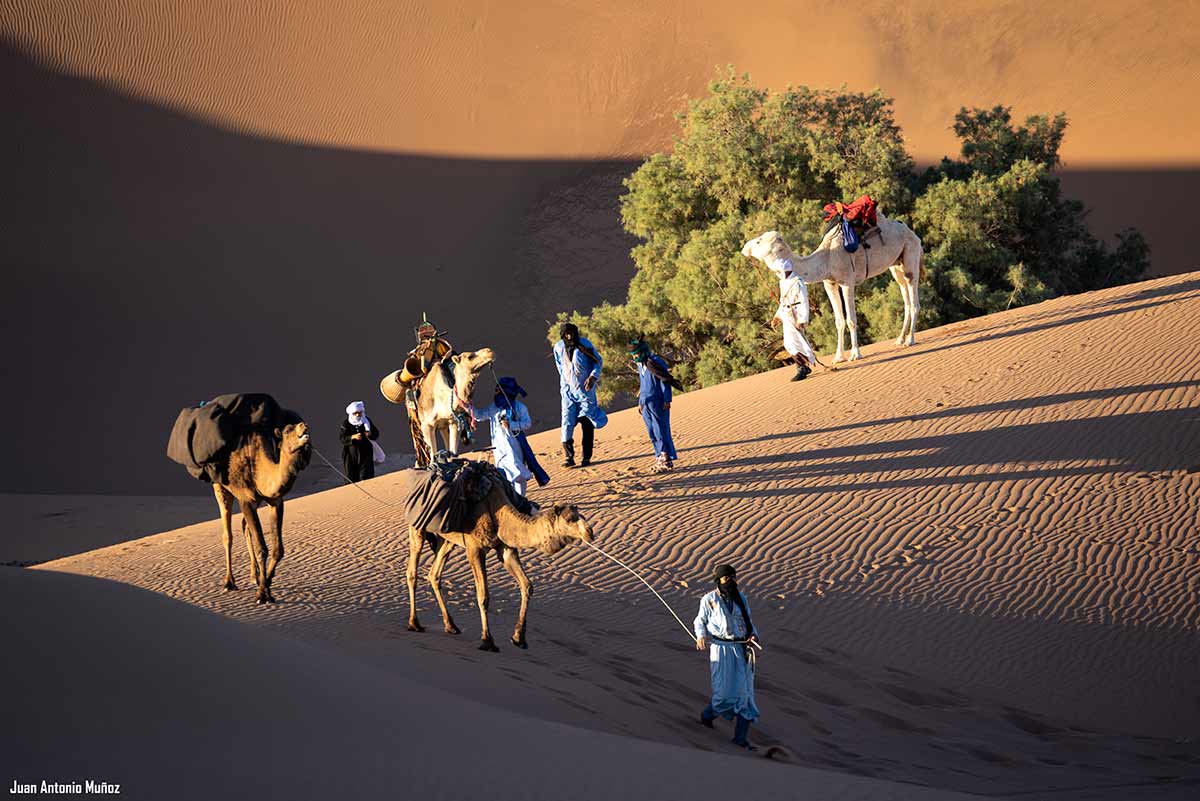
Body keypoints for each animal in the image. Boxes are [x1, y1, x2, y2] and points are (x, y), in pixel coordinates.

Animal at [213, 422, 312, 604]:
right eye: (287, 430)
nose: (304, 425)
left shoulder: (275, 501)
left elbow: (278, 549)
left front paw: (267, 582)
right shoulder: (246, 500)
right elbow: (262, 548)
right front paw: (262, 594)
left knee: (244, 527)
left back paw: (255, 575)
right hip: (220, 487)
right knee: (227, 535)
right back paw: (229, 582)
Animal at [408, 470, 595, 652]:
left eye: (581, 515)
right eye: (569, 519)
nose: (590, 532)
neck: (499, 515)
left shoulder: (506, 548)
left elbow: (527, 585)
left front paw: (519, 638)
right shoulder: (474, 549)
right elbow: (483, 595)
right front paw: (487, 641)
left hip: (446, 540)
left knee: (434, 574)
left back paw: (451, 626)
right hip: (417, 527)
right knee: (412, 572)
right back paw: (414, 623)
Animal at [739, 212, 926, 362]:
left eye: (758, 241)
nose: (744, 248)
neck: (827, 258)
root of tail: (912, 233)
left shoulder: (847, 282)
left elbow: (851, 320)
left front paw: (855, 355)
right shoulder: (829, 283)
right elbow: (839, 321)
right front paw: (838, 357)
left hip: (911, 253)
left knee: (914, 298)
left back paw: (910, 340)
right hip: (896, 265)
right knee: (905, 297)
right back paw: (900, 340)